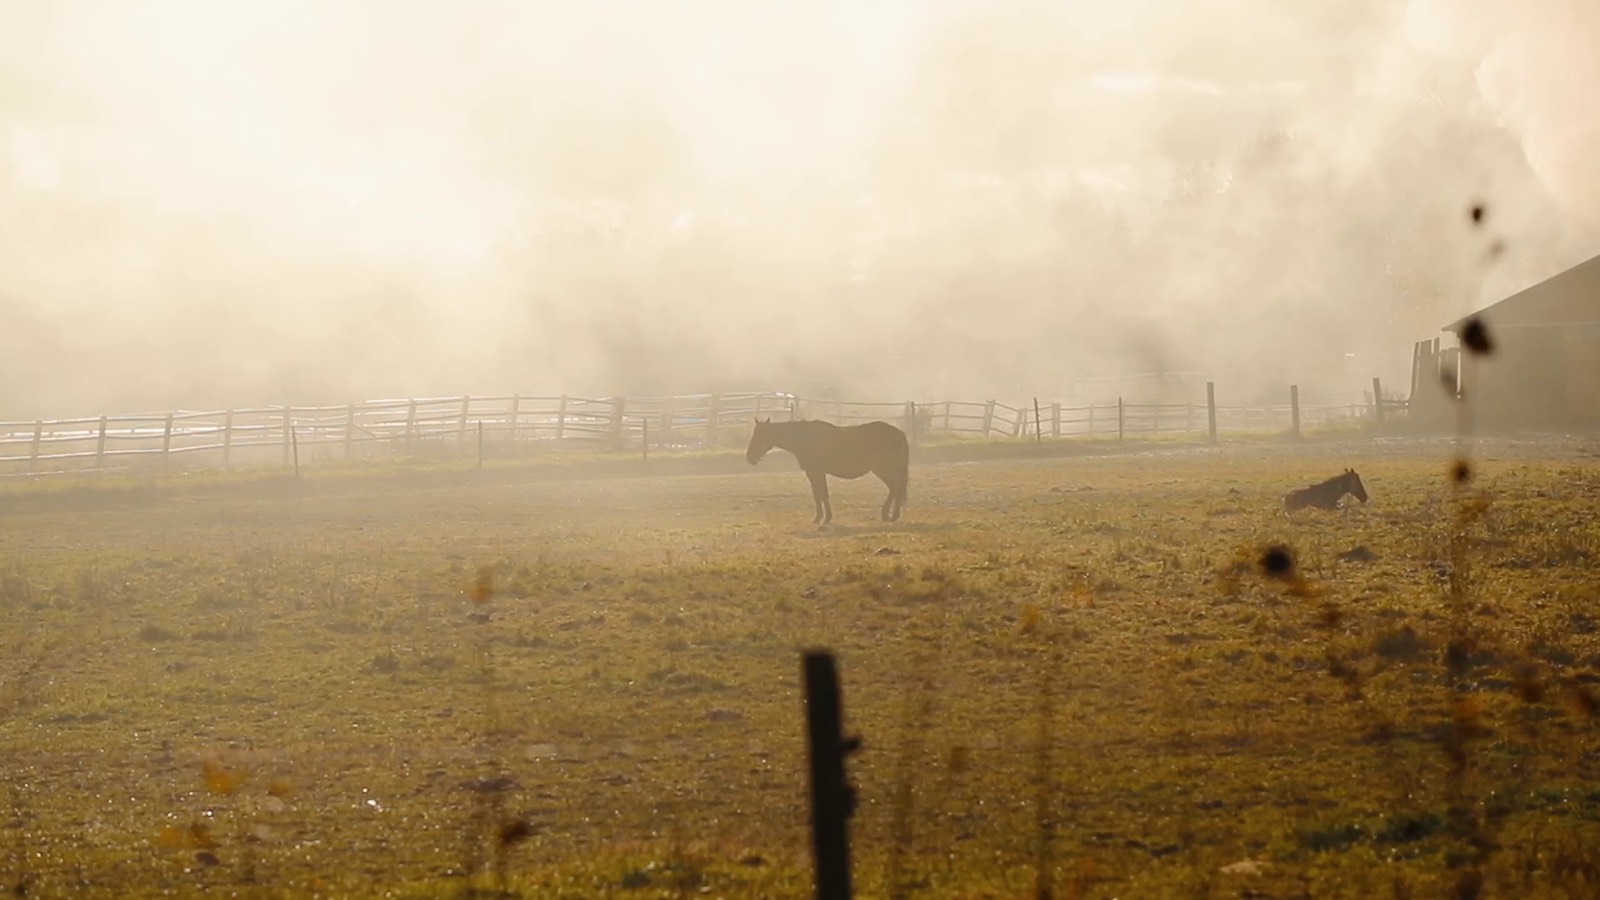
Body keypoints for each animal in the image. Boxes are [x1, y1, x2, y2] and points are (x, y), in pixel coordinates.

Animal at [746, 418, 909, 524]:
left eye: (758, 436)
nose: (749, 457)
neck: (805, 439)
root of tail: (899, 433)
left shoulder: (815, 473)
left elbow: (821, 495)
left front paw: (823, 518)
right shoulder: (816, 474)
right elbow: (819, 495)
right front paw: (823, 517)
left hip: (883, 469)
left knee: (895, 488)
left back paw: (889, 515)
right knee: (896, 489)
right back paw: (891, 515)